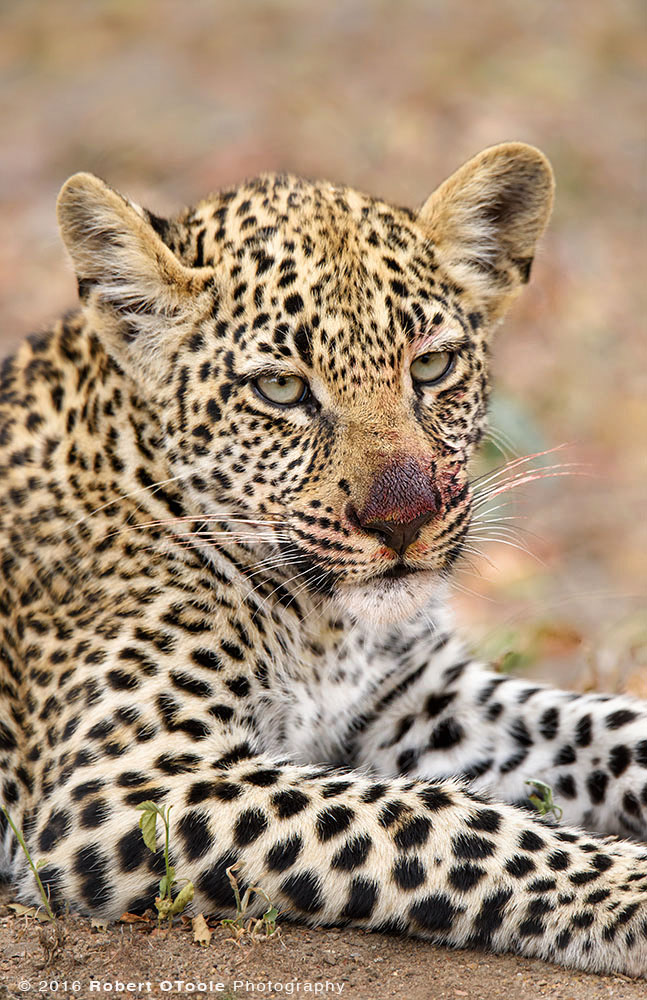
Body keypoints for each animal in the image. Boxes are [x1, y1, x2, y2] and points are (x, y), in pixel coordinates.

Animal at [0, 145, 644, 980]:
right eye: (281, 388)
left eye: (430, 367)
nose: (403, 522)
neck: (324, 628)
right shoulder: (117, 782)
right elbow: (434, 818)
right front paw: (632, 889)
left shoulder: (419, 700)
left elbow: (605, 722)